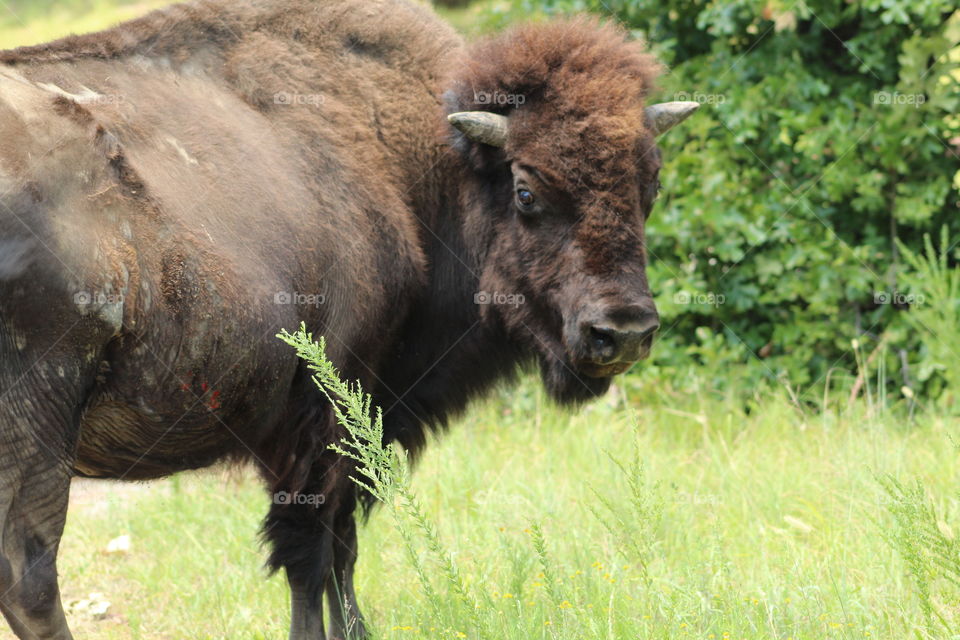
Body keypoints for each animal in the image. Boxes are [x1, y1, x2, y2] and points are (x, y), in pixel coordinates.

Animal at [0, 0, 697, 637]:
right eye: (527, 191)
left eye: (651, 187)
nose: (623, 332)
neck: (426, 167)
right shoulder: (328, 412)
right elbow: (311, 551)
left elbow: (341, 547)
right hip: (40, 419)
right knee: (30, 574)